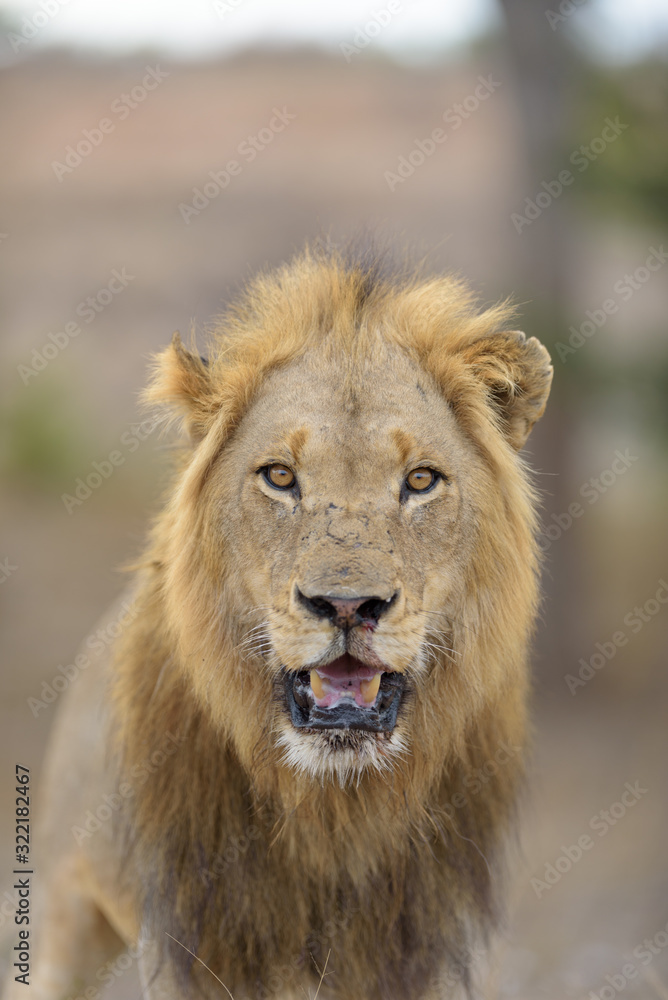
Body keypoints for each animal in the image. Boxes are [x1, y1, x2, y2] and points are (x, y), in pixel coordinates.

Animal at [6, 244, 552, 1000]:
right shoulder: (192, 946)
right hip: (61, 907)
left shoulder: (422, 951)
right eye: (280, 477)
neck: (333, 807)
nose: (348, 606)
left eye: (420, 480)